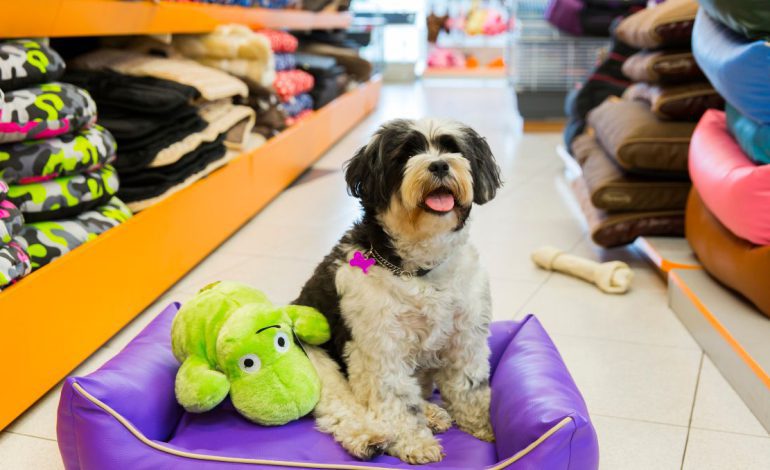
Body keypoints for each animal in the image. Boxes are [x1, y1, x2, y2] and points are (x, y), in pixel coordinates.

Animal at [292, 117, 500, 462]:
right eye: (406, 154)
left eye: (452, 148)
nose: (439, 165)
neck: (418, 271)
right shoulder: (380, 348)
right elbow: (397, 401)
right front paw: (414, 442)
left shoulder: (465, 337)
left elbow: (470, 387)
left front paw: (485, 426)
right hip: (312, 358)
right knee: (340, 405)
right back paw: (369, 436)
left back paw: (432, 412)